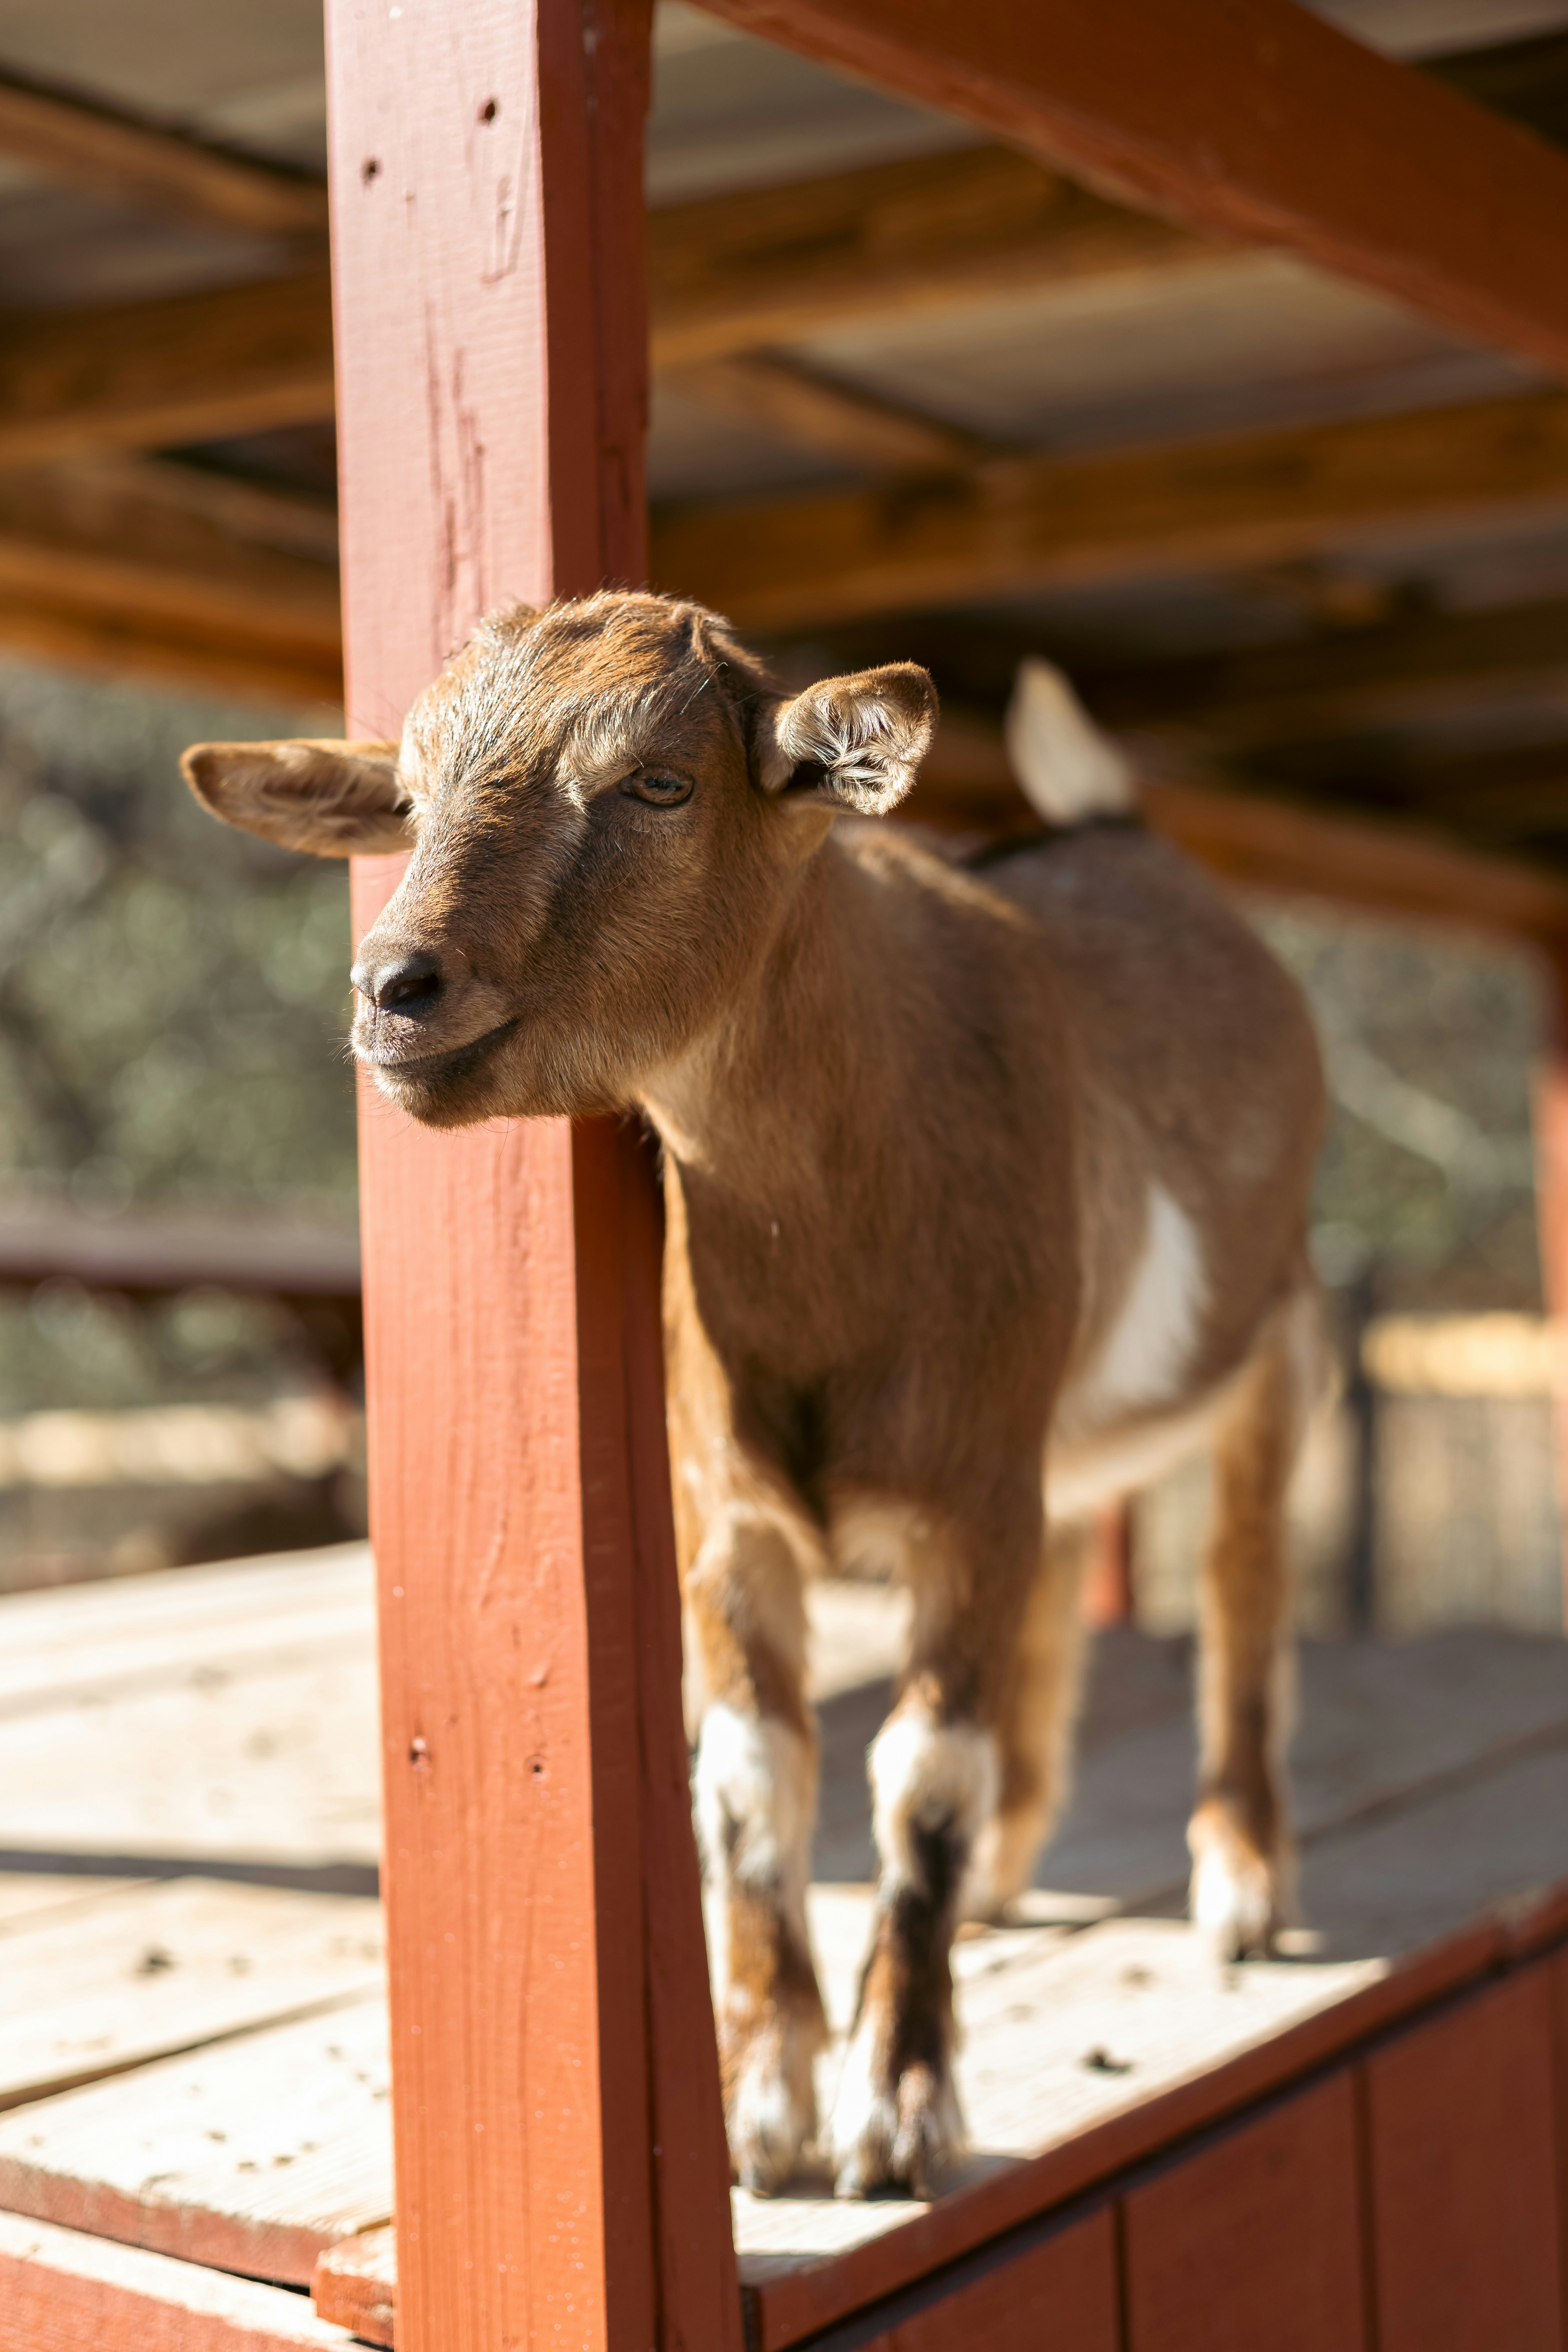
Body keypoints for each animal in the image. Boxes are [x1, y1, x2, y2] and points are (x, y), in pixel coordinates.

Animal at [183, 591, 1324, 2201]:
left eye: (659, 783)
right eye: (404, 801)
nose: (393, 989)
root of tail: (1124, 834)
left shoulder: (966, 1501)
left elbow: (920, 1778)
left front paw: (897, 2110)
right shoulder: (730, 1509)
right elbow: (750, 1782)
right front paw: (766, 2102)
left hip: (1276, 1322)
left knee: (1241, 1576)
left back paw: (1238, 1877)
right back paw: (1015, 1874)